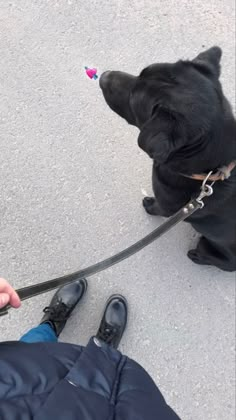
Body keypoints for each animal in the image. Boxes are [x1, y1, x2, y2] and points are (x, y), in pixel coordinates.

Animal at [99, 46, 236, 272]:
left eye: (132, 100)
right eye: (141, 73)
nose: (104, 76)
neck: (206, 173)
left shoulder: (167, 207)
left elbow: (158, 208)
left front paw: (149, 205)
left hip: (208, 245)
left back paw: (196, 256)